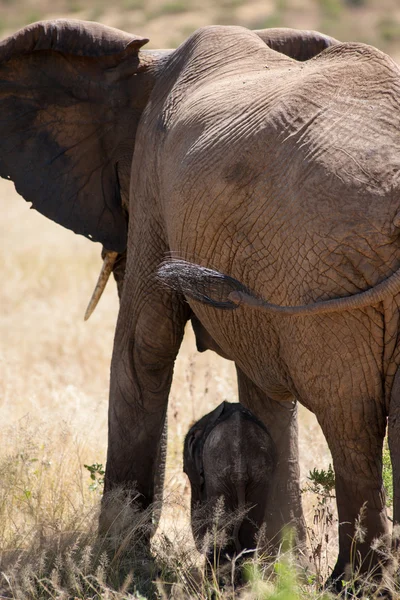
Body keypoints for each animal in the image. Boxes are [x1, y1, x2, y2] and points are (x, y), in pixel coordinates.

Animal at [184, 400, 276, 560]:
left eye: (186, 472)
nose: (199, 547)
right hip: (259, 475)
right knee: (249, 530)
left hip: (219, 474)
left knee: (221, 527)